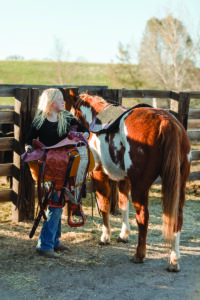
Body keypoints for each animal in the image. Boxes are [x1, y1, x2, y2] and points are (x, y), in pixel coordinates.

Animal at [67, 92, 191, 272]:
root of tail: (167, 122)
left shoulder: (99, 173)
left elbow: (104, 205)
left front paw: (105, 237)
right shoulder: (124, 179)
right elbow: (123, 205)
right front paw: (123, 235)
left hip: (140, 186)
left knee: (143, 217)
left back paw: (139, 255)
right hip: (179, 186)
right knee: (177, 218)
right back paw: (174, 261)